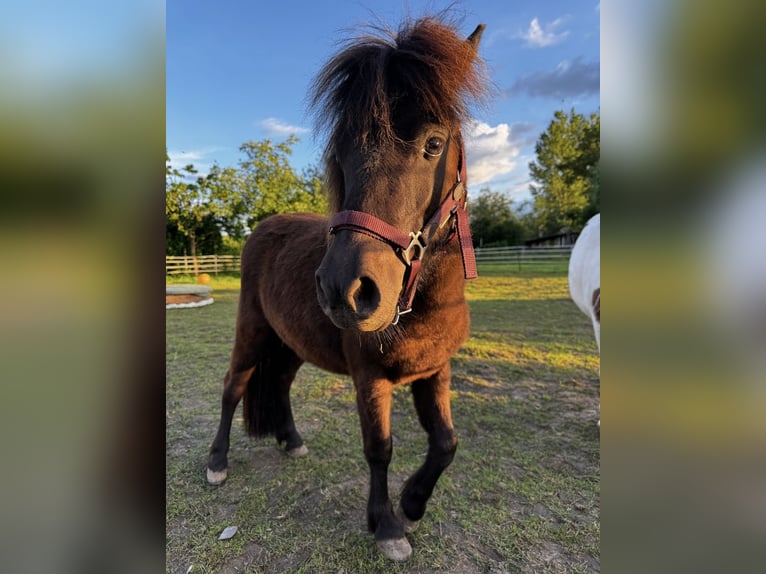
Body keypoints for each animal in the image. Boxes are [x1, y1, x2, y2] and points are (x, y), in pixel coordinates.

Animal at [207, 16, 488, 564]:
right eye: (340, 152)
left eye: (434, 143)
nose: (345, 290)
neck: (424, 305)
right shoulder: (369, 378)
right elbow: (379, 449)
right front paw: (388, 525)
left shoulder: (435, 370)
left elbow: (446, 442)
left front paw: (413, 503)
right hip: (252, 332)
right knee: (233, 386)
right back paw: (217, 462)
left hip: (289, 343)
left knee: (279, 383)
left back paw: (291, 440)